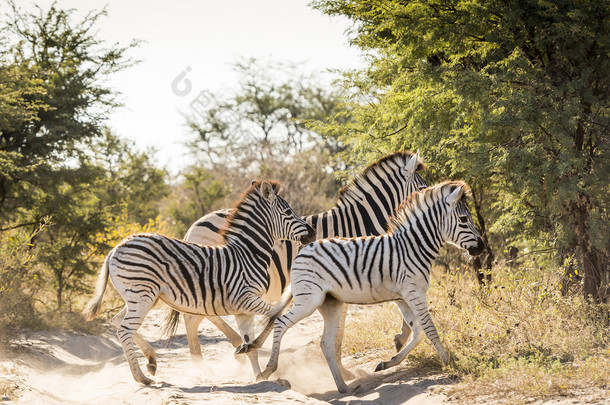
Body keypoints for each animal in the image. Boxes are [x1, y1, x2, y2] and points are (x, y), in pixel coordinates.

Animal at [82, 181, 314, 386]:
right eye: (288, 212)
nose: (312, 233)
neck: (248, 254)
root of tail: (115, 248)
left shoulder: (243, 309)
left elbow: (253, 341)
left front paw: (258, 375)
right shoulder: (245, 299)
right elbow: (276, 315)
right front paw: (261, 366)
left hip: (140, 297)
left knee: (117, 320)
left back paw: (152, 361)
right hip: (142, 297)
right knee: (124, 330)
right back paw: (142, 378)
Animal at [164, 152, 426, 376]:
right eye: (424, 188)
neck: (356, 226)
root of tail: (193, 226)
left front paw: (399, 338)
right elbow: (339, 333)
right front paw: (346, 371)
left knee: (201, 315)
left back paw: (236, 348)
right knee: (193, 318)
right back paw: (204, 365)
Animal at [238, 180, 484, 392]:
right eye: (464, 219)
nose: (481, 247)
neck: (413, 247)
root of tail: (301, 252)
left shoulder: (403, 297)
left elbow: (417, 333)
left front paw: (388, 363)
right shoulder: (414, 293)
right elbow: (430, 330)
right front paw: (450, 362)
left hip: (331, 304)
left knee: (326, 343)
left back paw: (344, 388)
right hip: (309, 300)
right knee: (281, 323)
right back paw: (269, 370)